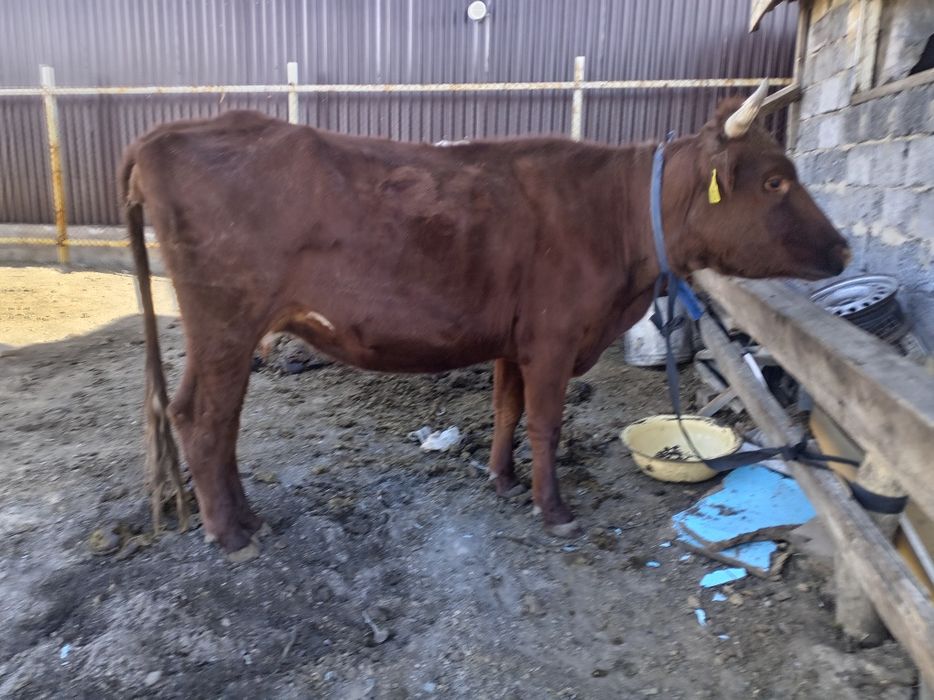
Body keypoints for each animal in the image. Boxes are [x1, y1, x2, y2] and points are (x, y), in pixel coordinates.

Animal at [120, 82, 850, 560]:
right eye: (776, 181)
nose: (843, 248)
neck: (615, 219)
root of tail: (166, 132)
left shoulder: (515, 339)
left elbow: (506, 408)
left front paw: (502, 479)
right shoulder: (555, 339)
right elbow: (546, 422)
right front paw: (553, 508)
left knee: (218, 421)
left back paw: (246, 518)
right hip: (224, 323)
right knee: (200, 416)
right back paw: (231, 534)